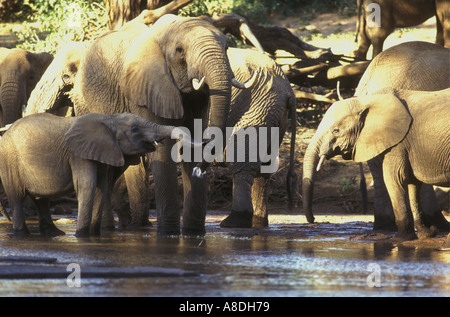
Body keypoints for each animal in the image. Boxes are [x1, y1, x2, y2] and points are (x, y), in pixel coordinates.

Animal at [0, 111, 185, 235]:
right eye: (134, 129)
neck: (109, 119)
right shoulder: (78, 155)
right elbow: (87, 186)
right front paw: (81, 235)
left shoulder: (101, 153)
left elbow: (101, 189)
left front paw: (94, 235)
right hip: (9, 161)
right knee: (17, 198)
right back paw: (22, 233)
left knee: (41, 200)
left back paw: (56, 233)